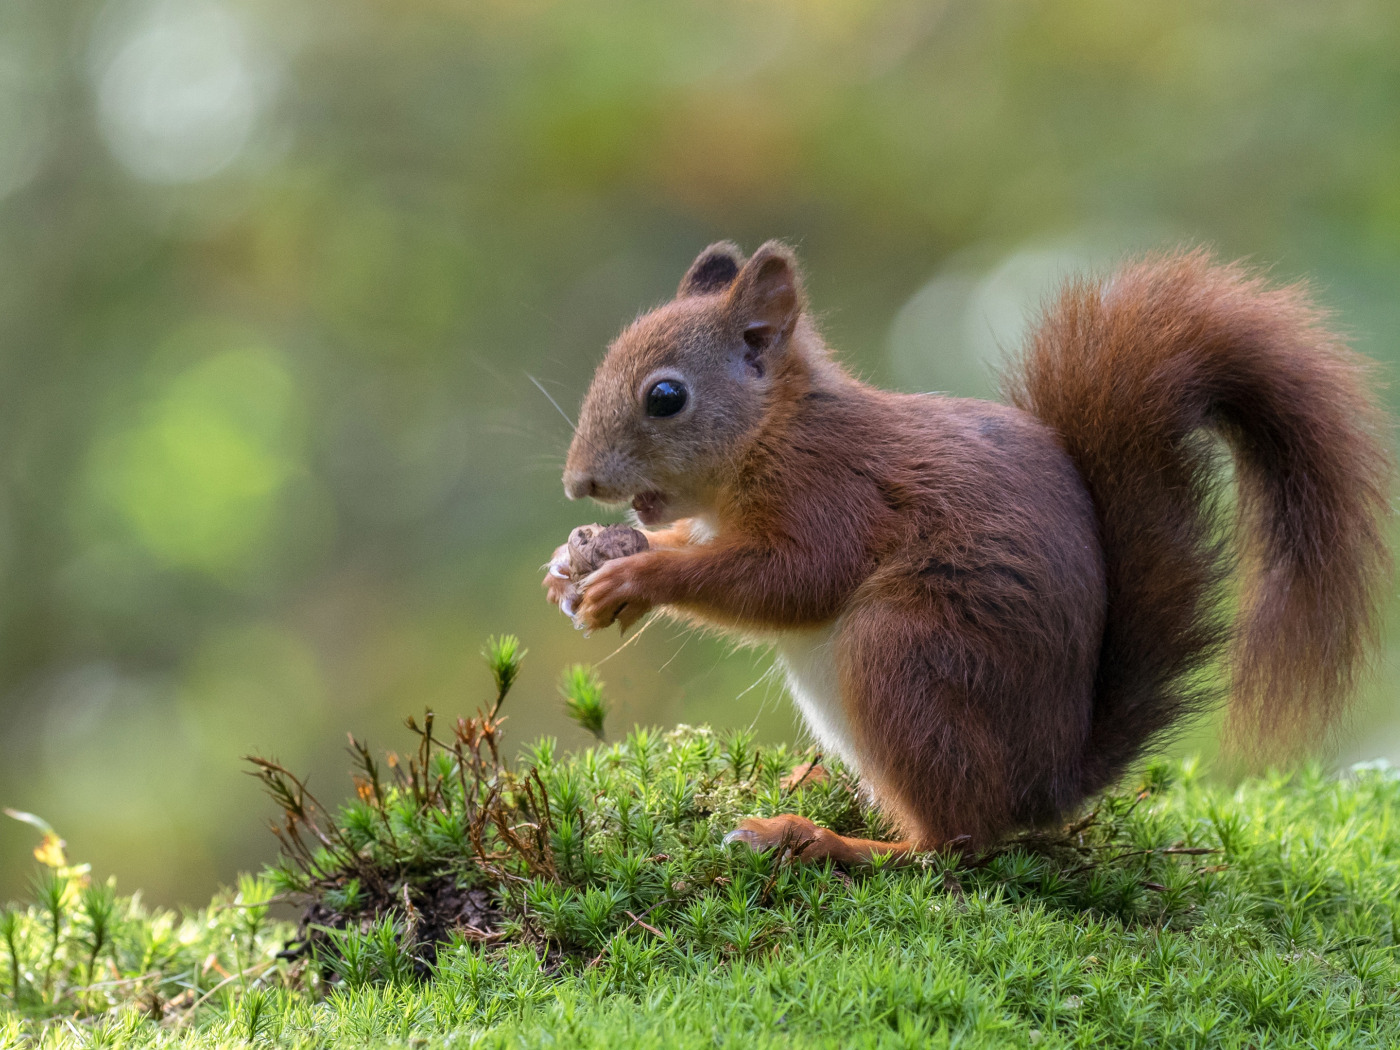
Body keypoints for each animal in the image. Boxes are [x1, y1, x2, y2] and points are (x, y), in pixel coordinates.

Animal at [537, 242, 1388, 868]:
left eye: (666, 398)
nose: (578, 483)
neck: (775, 428)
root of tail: (1050, 783)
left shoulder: (835, 492)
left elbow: (795, 581)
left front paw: (637, 574)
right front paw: (577, 562)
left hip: (904, 656)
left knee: (953, 842)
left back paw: (825, 840)